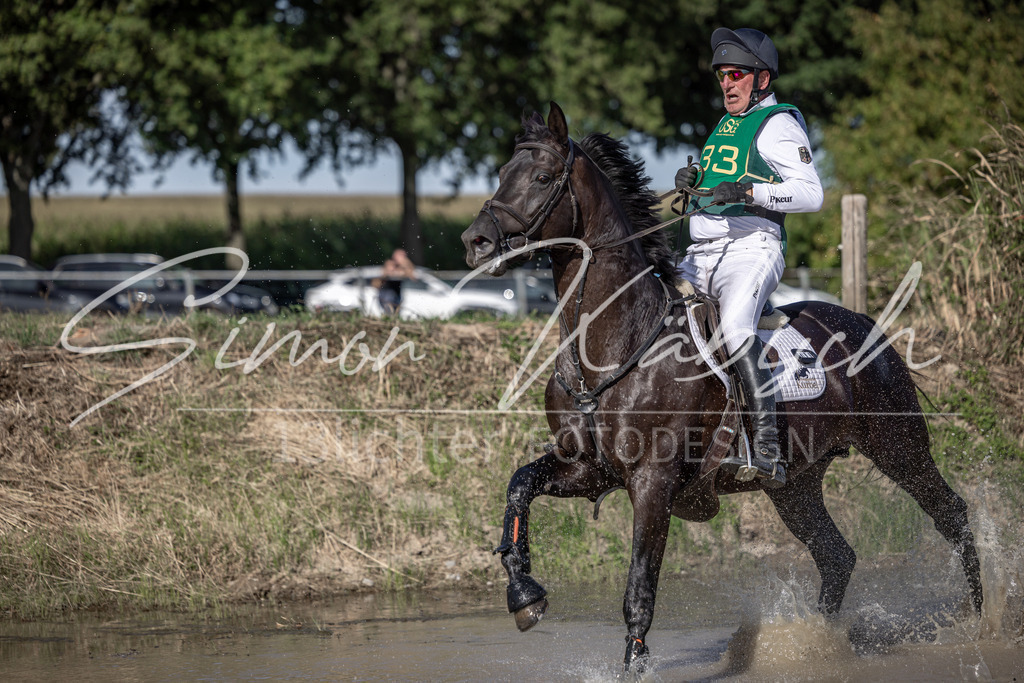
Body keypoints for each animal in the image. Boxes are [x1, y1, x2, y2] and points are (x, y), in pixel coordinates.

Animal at [461, 102, 983, 673]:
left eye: (542, 177)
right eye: (502, 173)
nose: (475, 243)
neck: (614, 342)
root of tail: (870, 325)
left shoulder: (653, 482)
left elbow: (639, 589)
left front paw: (633, 665)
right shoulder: (586, 469)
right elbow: (518, 486)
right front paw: (524, 595)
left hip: (899, 447)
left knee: (953, 516)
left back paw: (980, 620)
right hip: (796, 484)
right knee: (837, 555)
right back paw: (818, 641)